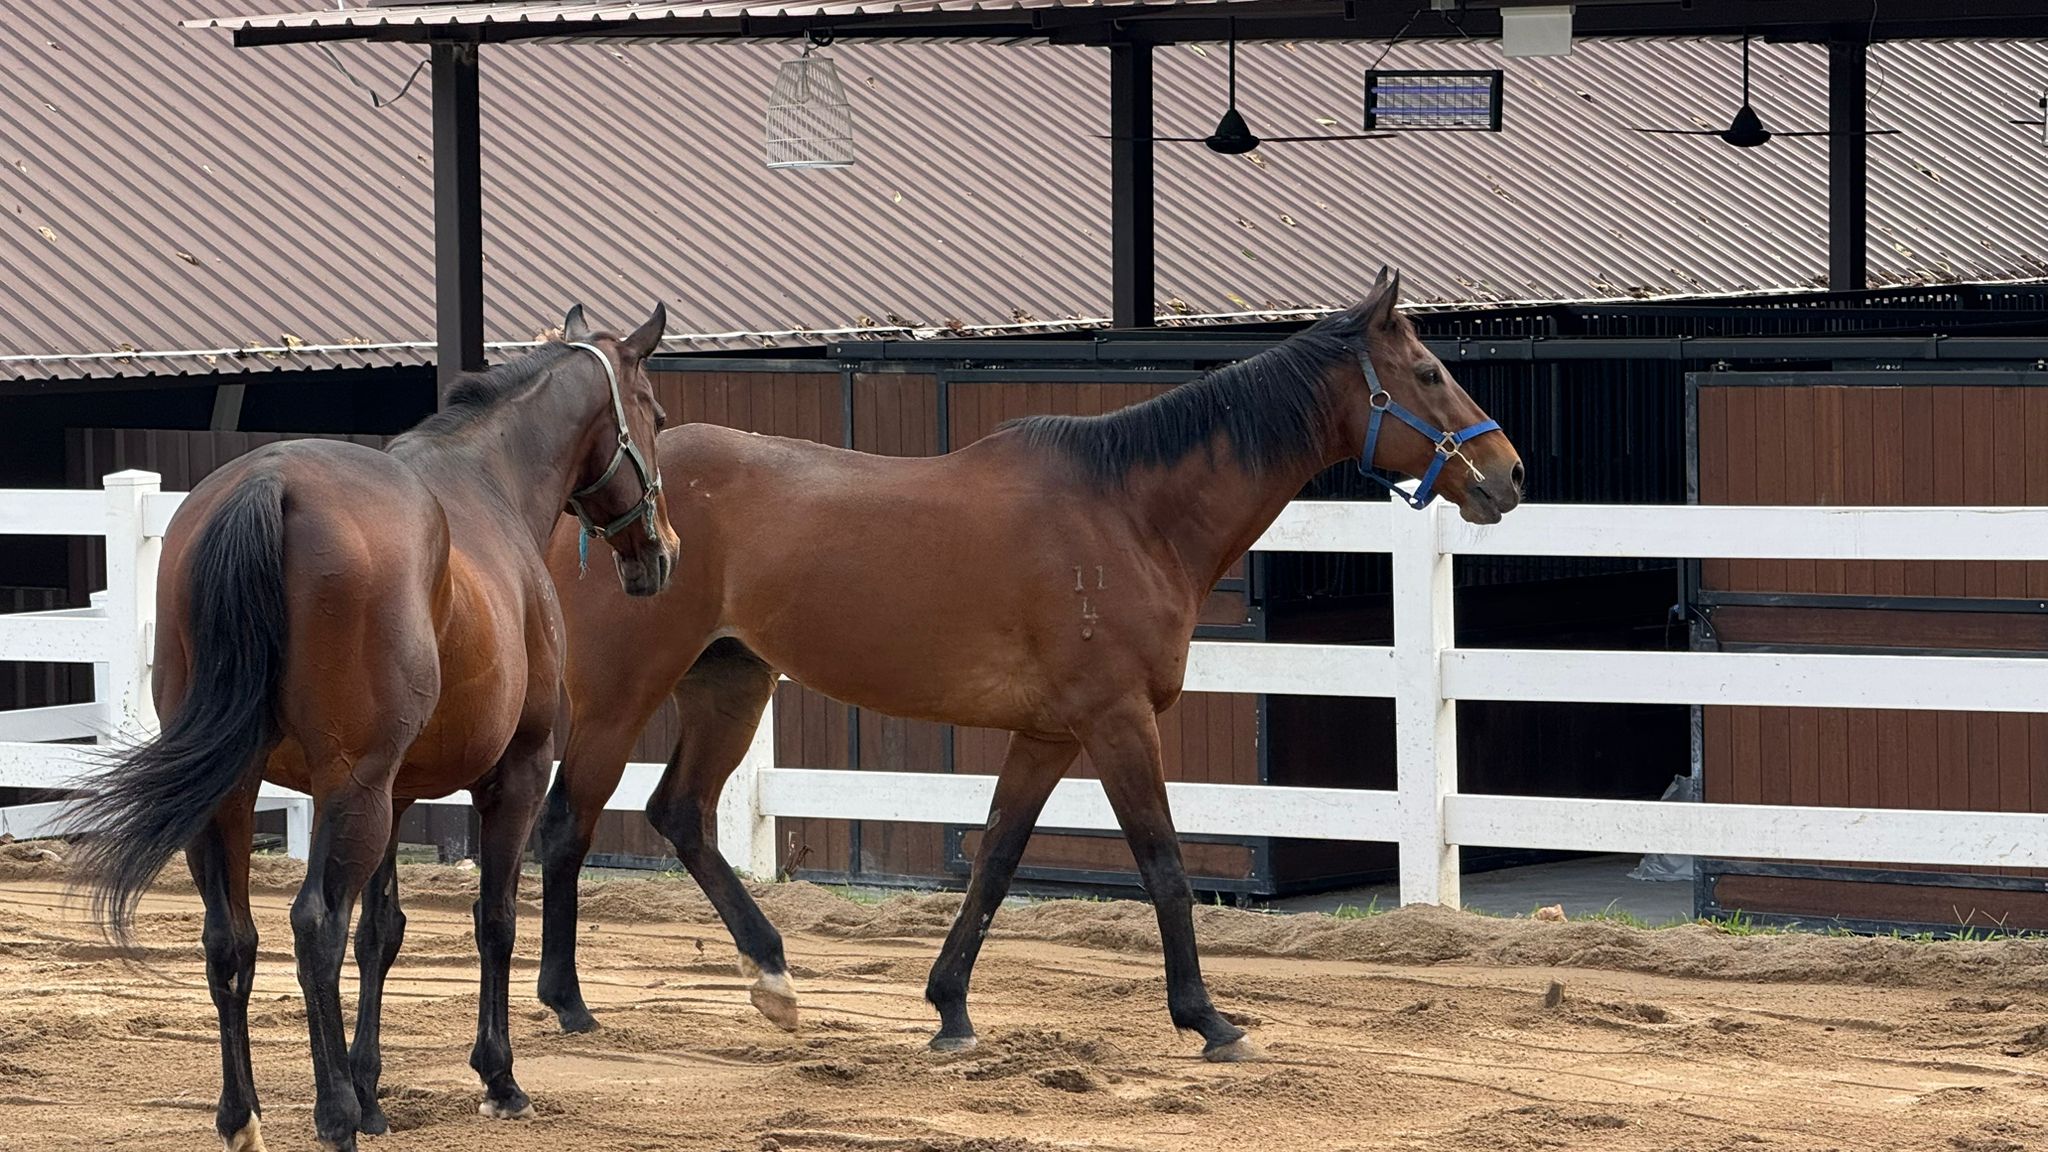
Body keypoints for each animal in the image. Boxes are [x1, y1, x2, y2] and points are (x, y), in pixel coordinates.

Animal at [66, 305, 678, 1152]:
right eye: (655, 414)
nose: (663, 550)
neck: (489, 486)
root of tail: (270, 483)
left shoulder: (395, 792)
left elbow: (381, 932)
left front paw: (372, 1087)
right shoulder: (512, 776)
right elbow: (493, 920)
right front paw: (495, 1077)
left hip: (234, 795)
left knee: (232, 939)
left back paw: (241, 1114)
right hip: (349, 790)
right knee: (314, 927)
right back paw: (334, 1116)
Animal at [533, 269, 1522, 1061]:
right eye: (1429, 373)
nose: (1508, 474)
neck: (1129, 513)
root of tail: (599, 504)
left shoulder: (1048, 735)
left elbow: (997, 862)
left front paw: (950, 1011)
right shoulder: (1116, 721)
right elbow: (1163, 863)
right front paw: (1208, 1020)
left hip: (730, 685)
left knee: (681, 815)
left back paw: (773, 980)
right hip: (621, 698)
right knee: (567, 827)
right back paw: (569, 1005)